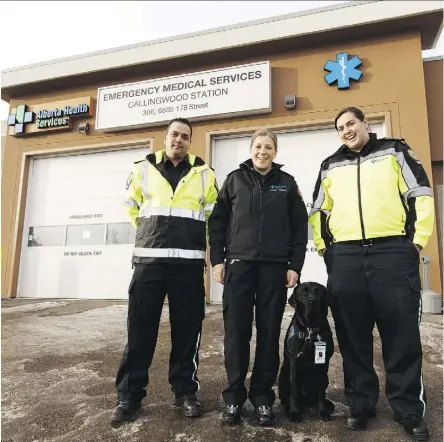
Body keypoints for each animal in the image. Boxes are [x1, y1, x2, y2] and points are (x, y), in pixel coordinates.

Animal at [280, 282, 334, 424]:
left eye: (318, 291)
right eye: (303, 292)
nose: (312, 301)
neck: (311, 329)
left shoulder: (324, 364)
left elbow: (321, 393)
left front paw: (322, 411)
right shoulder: (294, 362)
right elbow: (293, 392)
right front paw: (294, 412)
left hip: (327, 378)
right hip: (283, 377)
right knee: (286, 397)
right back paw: (288, 408)